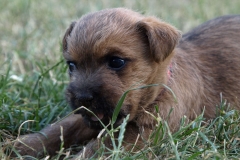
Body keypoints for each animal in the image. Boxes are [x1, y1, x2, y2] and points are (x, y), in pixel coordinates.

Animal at [12, 7, 240, 159]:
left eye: (116, 62)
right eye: (71, 65)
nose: (82, 97)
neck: (161, 88)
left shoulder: (143, 132)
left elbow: (97, 148)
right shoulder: (88, 116)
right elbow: (60, 128)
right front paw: (22, 146)